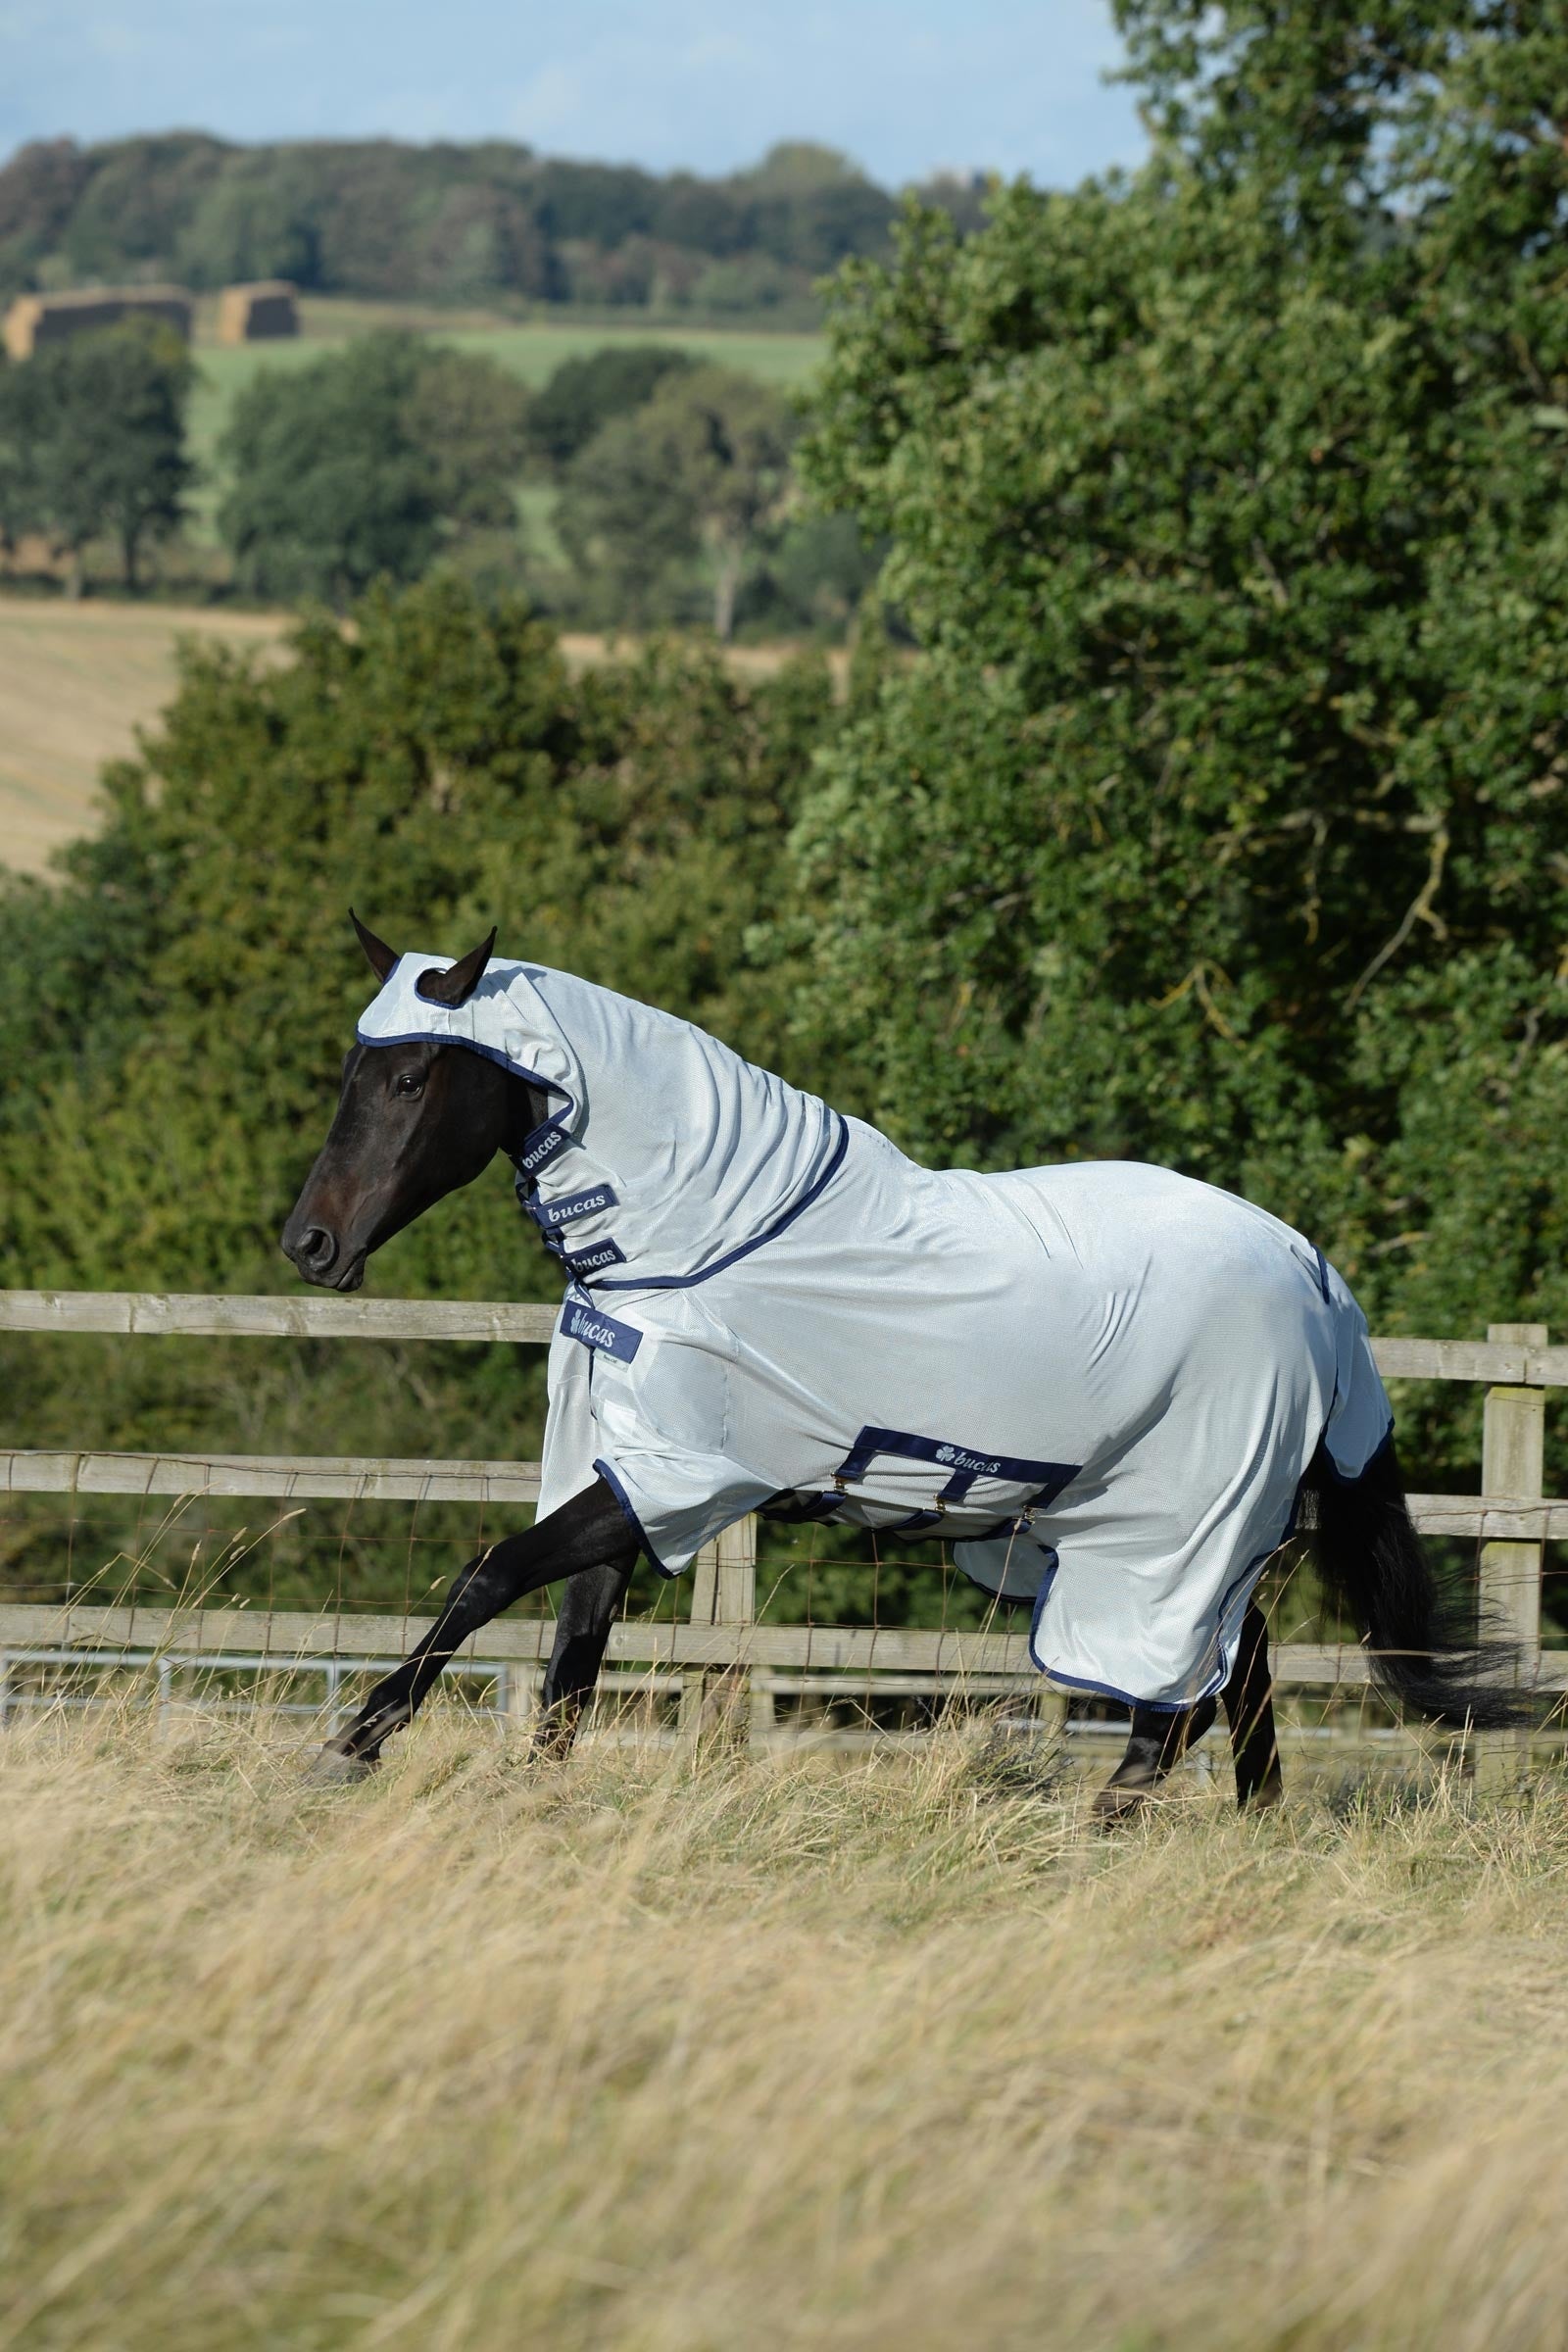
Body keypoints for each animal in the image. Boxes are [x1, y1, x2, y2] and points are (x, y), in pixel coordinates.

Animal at [282, 917, 1518, 1815]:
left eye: (409, 1082)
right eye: (351, 1069)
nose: (310, 1245)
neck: (704, 1242)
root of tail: (1314, 1277)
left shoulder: (692, 1477)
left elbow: (486, 1575)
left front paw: (353, 1743)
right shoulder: (634, 1476)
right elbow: (568, 1663)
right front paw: (526, 1797)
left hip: (1182, 1525)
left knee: (1190, 1691)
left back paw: (1104, 1824)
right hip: (1136, 1529)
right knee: (1232, 1669)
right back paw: (1234, 1825)